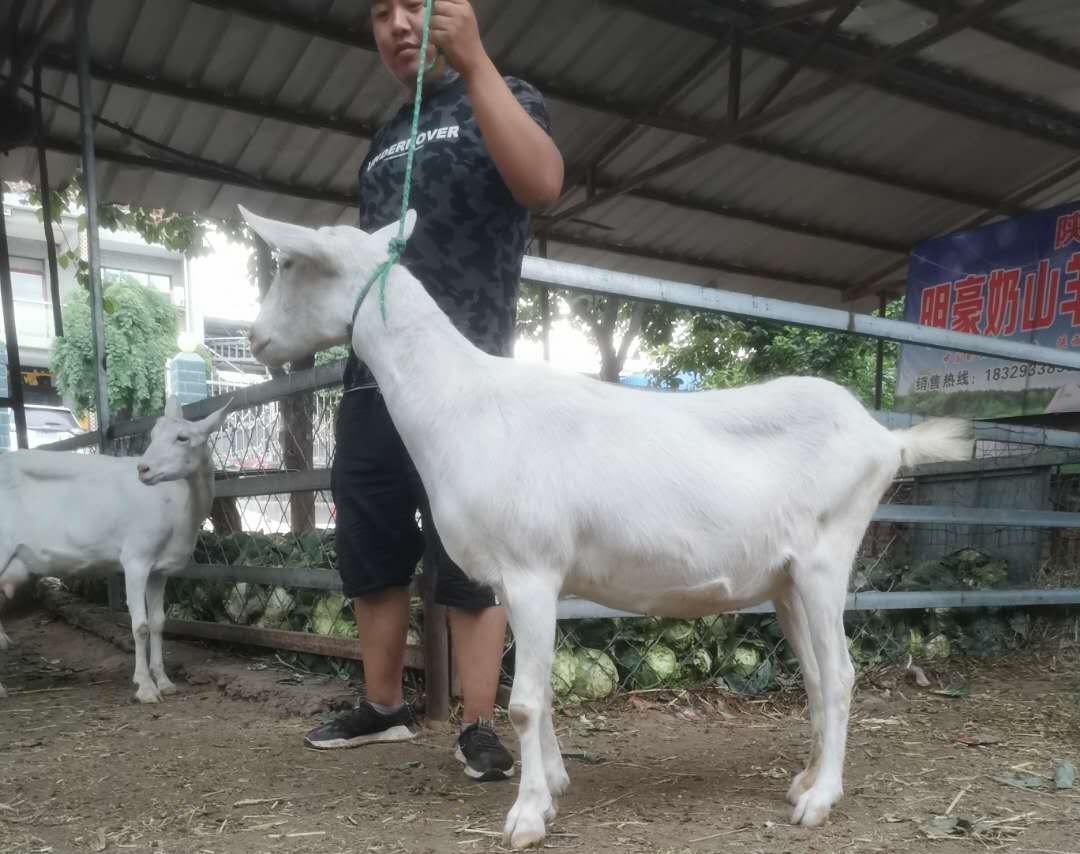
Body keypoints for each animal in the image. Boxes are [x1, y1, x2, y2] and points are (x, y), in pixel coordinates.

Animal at [0, 397, 227, 703]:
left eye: (183, 438)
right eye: (153, 435)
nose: (143, 469)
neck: (180, 503)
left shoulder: (159, 570)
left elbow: (158, 622)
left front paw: (164, 681)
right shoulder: (136, 559)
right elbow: (140, 626)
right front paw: (145, 687)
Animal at [243, 205, 972, 846]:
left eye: (289, 262)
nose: (254, 340)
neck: (463, 404)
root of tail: (884, 439)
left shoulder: (532, 568)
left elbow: (523, 700)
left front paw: (527, 816)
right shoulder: (517, 582)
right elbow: (535, 690)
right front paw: (554, 785)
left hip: (827, 556)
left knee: (842, 676)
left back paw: (820, 800)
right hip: (787, 579)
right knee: (819, 678)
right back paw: (805, 780)